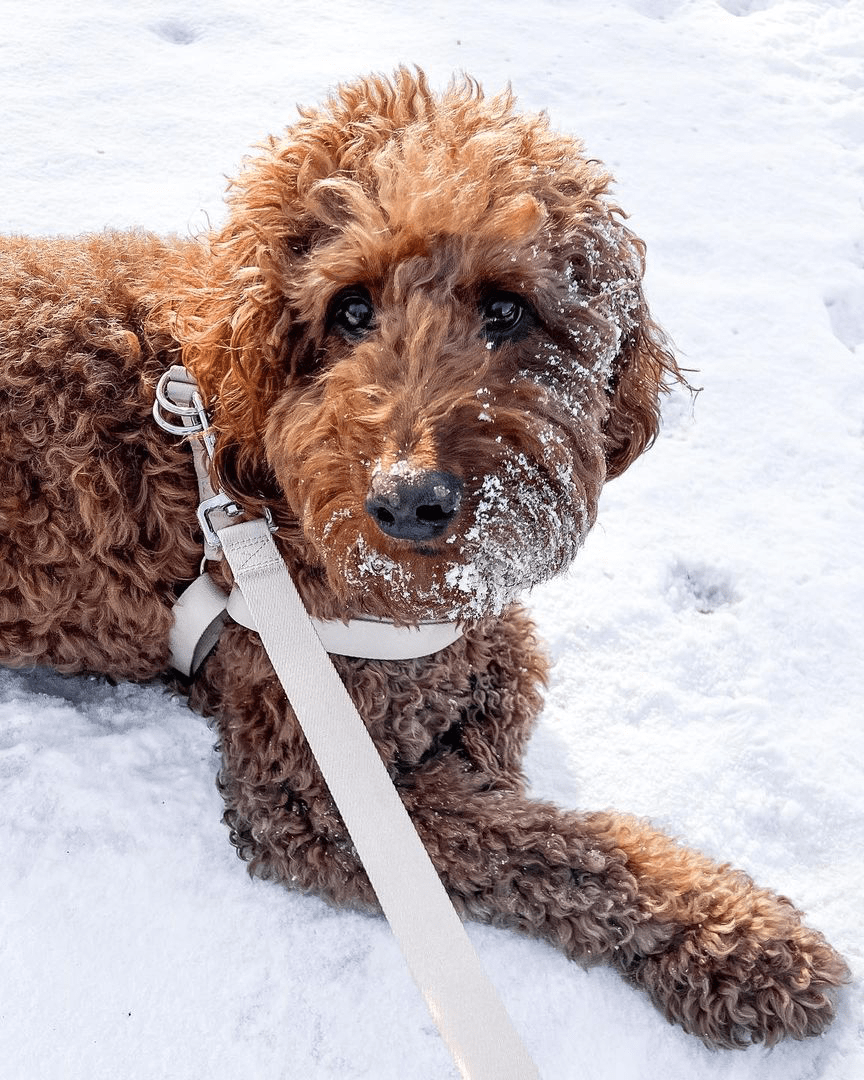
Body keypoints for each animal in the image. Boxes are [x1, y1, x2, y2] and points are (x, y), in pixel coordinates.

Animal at [0, 67, 851, 1045]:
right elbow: (548, 849)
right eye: (351, 309)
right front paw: (738, 941)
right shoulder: (316, 790)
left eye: (507, 309)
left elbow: (504, 697)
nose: (410, 501)